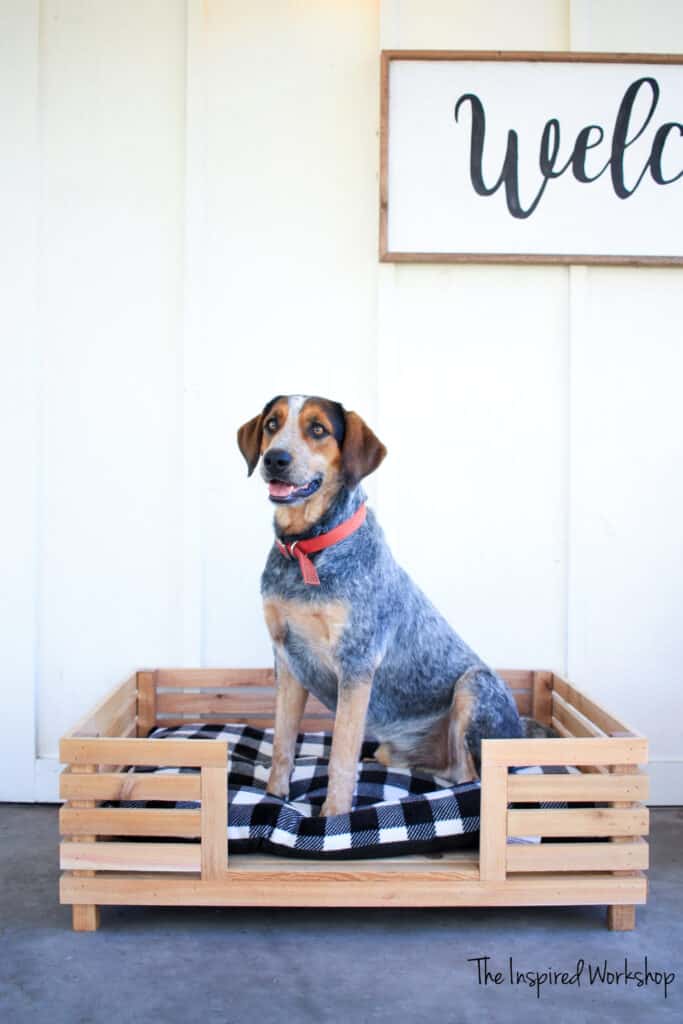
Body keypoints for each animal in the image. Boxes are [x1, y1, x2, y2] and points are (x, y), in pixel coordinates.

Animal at [237, 391, 528, 815]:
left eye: (318, 429)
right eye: (272, 424)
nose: (276, 458)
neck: (306, 550)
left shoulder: (356, 664)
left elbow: (341, 755)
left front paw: (333, 817)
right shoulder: (287, 659)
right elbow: (282, 745)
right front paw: (275, 799)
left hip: (474, 686)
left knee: (468, 775)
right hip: (391, 749)